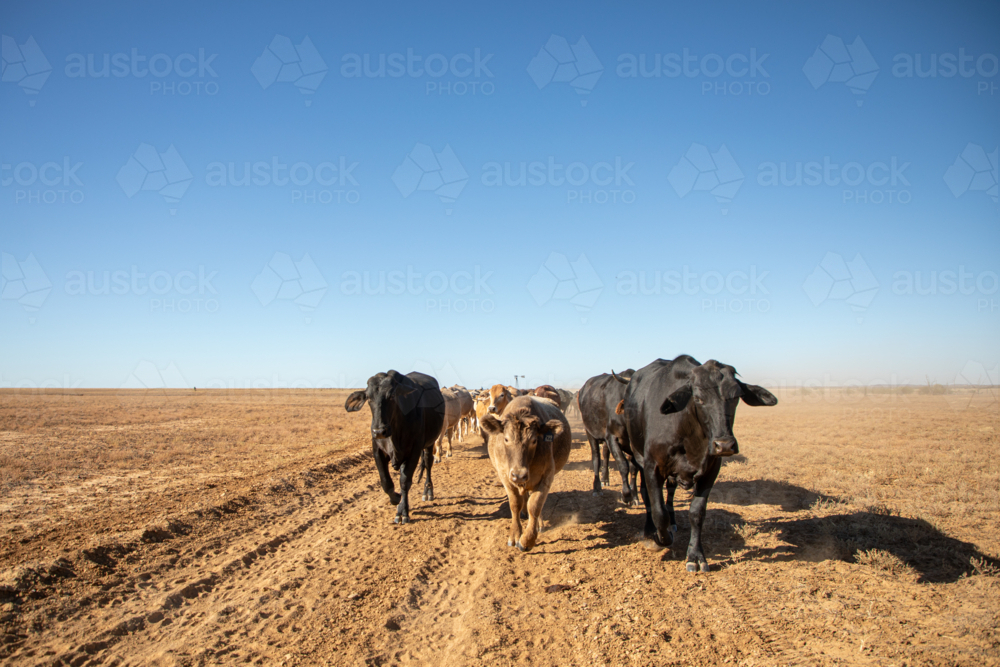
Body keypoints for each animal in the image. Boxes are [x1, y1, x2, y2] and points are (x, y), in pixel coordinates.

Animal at [344, 371, 444, 524]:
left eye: (391, 396)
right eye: (368, 397)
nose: (379, 431)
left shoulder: (414, 452)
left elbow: (405, 481)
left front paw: (403, 511)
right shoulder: (377, 451)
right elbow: (386, 482)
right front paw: (396, 499)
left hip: (430, 443)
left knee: (428, 464)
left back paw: (427, 491)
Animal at [479, 395, 572, 552]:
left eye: (534, 440)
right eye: (506, 439)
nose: (519, 475)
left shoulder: (546, 476)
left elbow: (534, 506)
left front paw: (527, 540)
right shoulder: (506, 477)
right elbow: (515, 504)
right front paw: (515, 535)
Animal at [578, 370, 639, 503]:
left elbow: (634, 468)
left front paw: (635, 495)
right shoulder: (612, 438)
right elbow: (623, 465)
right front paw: (626, 495)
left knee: (605, 454)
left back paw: (605, 478)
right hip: (590, 433)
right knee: (596, 458)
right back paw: (597, 488)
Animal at [616, 355, 777, 572]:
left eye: (735, 397)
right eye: (699, 398)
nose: (724, 445)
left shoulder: (711, 470)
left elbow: (697, 512)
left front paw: (695, 555)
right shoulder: (651, 467)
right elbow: (658, 512)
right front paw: (660, 538)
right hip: (639, 456)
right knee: (648, 497)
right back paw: (650, 530)